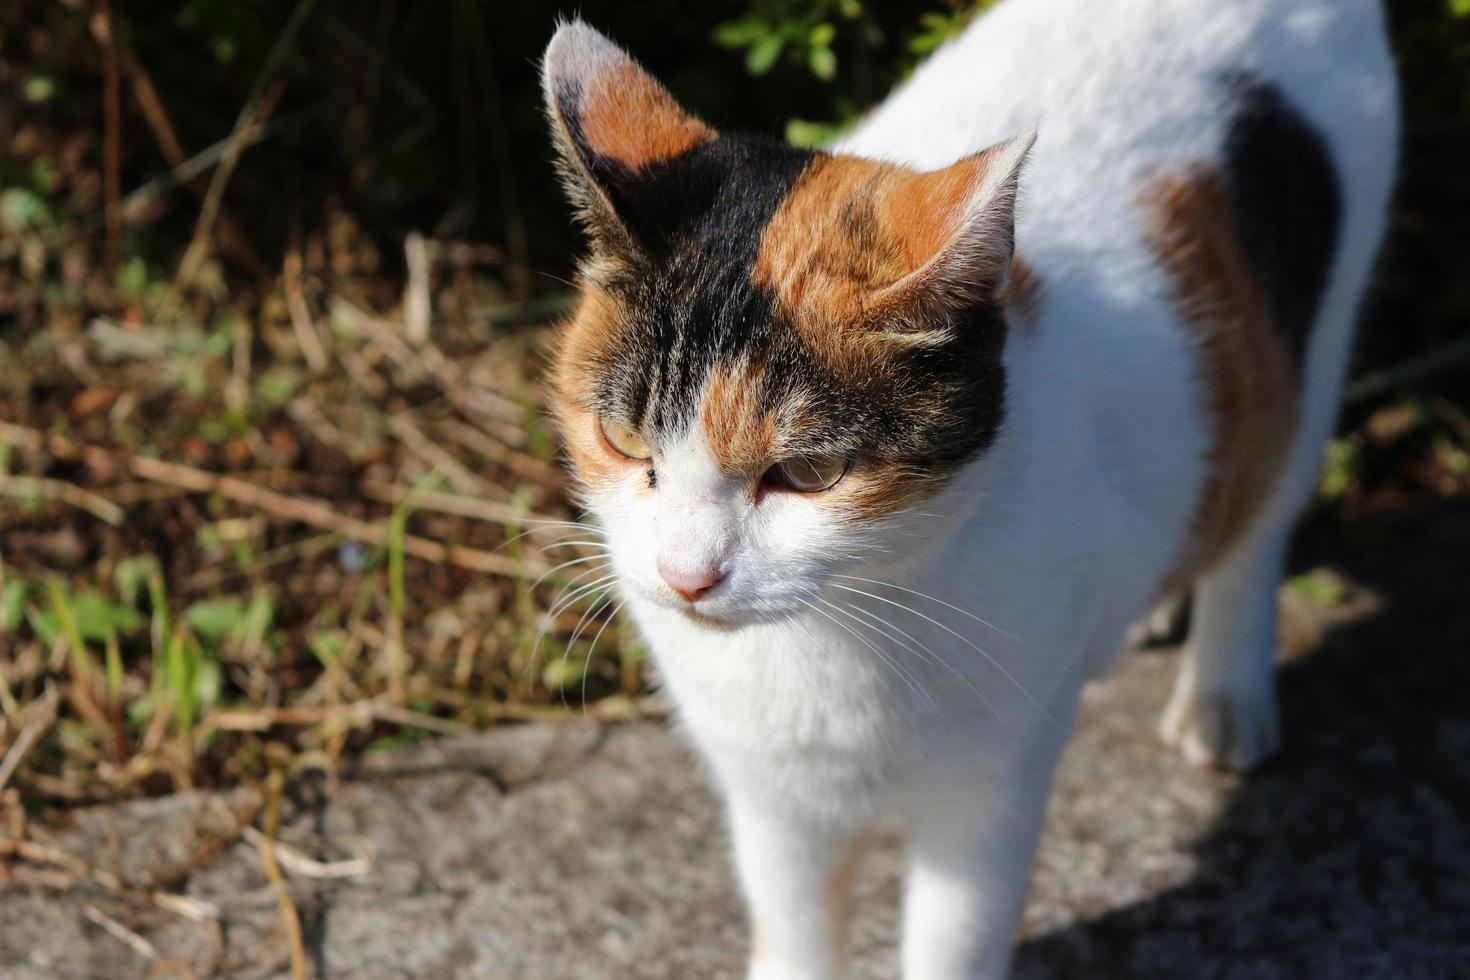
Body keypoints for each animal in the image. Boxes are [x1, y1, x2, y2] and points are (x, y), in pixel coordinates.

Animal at [543, 1, 1399, 975]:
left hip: (1310, 355)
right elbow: (794, 924)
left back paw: (1225, 693)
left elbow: (955, 935)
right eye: (624, 438)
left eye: (807, 473)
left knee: (1260, 514)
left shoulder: (993, 785)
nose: (687, 577)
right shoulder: (773, 798)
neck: (835, 632)